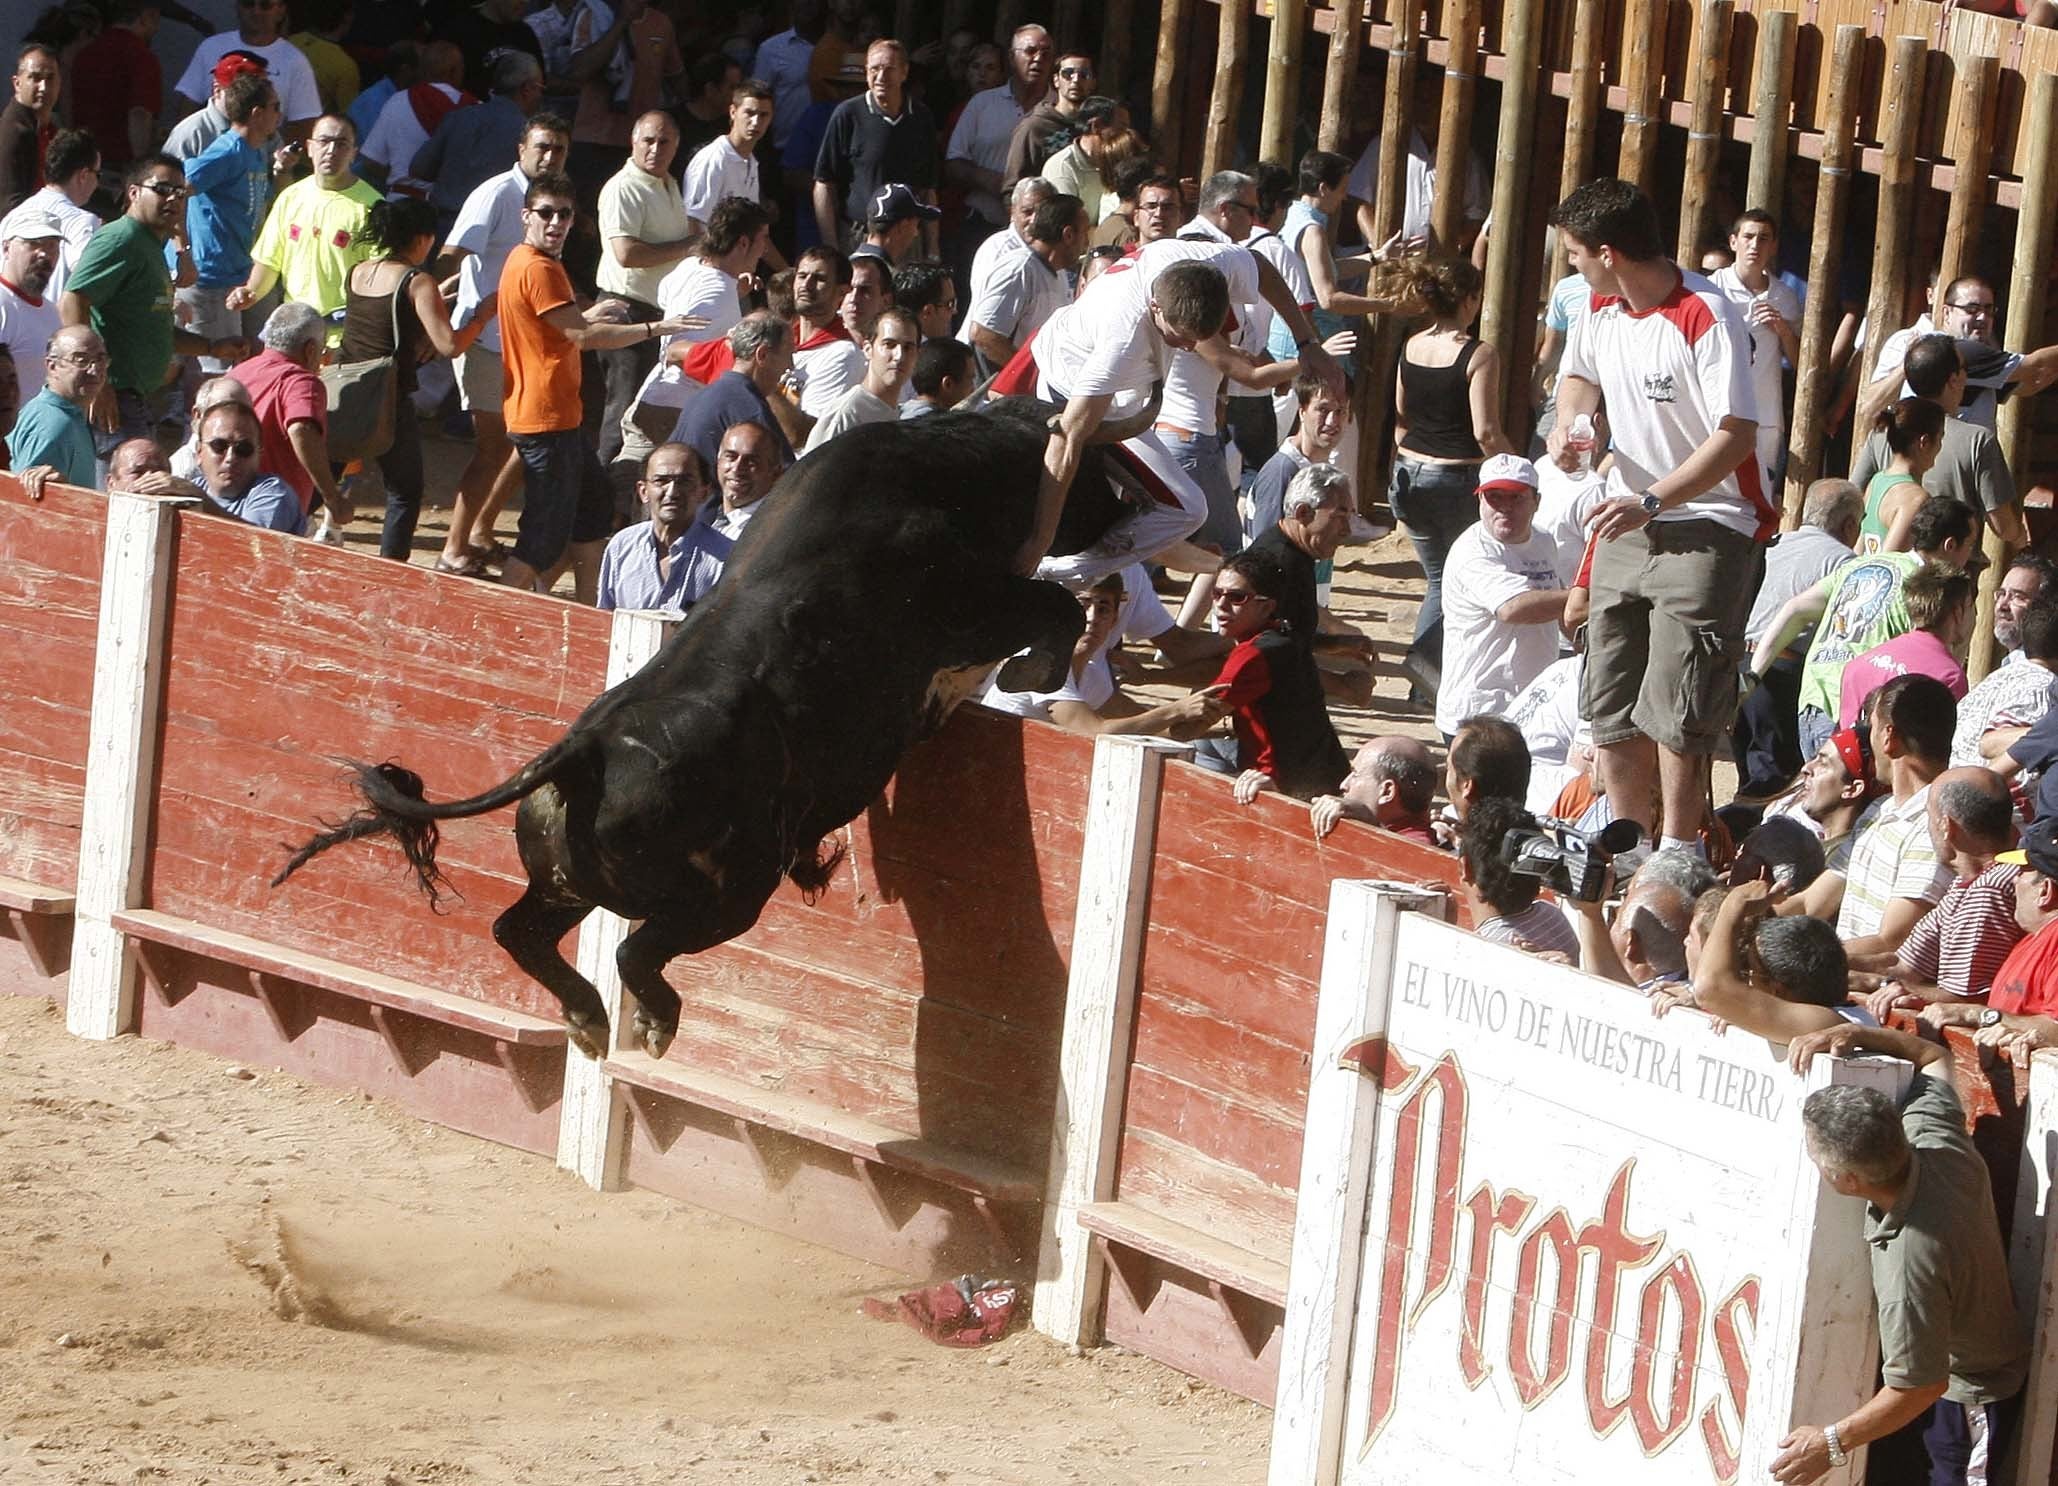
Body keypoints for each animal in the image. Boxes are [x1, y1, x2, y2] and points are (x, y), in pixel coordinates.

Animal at [271, 399, 1144, 1062]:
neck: (953, 465)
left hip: (566, 883)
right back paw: (651, 1025)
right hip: (731, 891)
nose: (1131, 513)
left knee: (517, 930)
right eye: (1095, 468)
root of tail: (584, 749)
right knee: (636, 949)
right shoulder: (975, 602)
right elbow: (1053, 608)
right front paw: (1034, 676)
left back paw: (589, 1022)